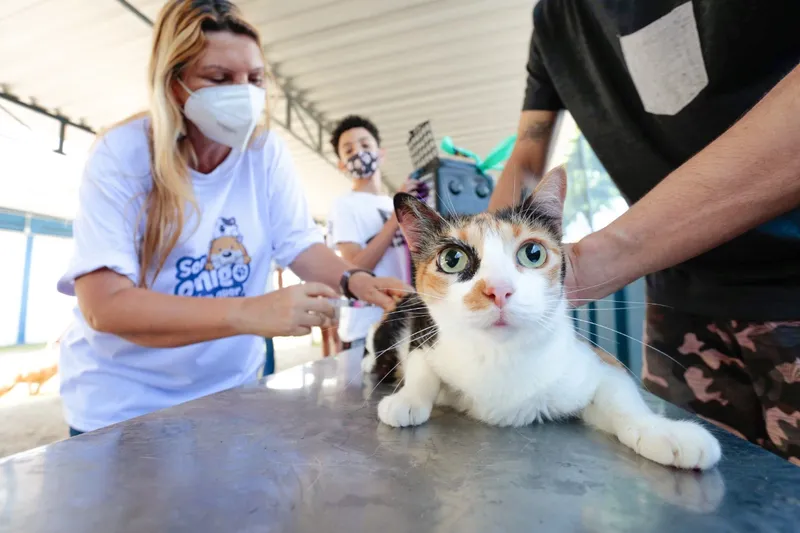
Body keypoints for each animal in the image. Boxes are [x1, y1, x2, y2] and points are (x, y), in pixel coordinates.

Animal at [366, 167, 720, 470]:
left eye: (532, 254)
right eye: (453, 259)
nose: (499, 290)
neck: (501, 356)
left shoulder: (593, 362)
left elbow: (622, 397)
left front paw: (666, 433)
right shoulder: (426, 336)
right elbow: (422, 370)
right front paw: (407, 399)